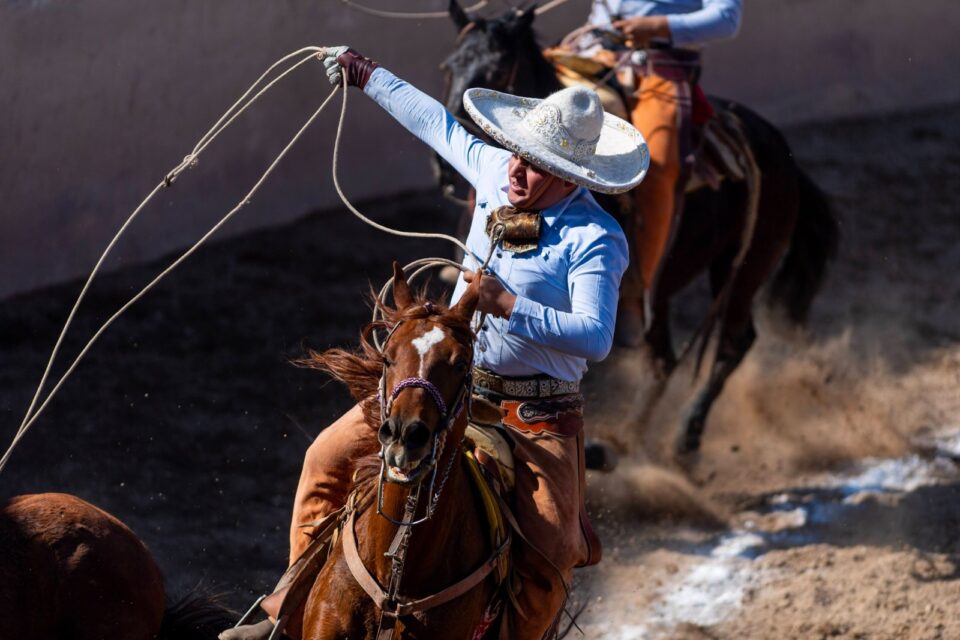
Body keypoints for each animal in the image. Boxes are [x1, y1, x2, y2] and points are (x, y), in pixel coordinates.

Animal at [437, 1, 840, 455]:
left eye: (498, 67)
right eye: (449, 67)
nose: (444, 171)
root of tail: (777, 148)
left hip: (744, 269)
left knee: (732, 342)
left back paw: (682, 437)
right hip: (668, 290)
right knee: (664, 360)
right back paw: (624, 444)